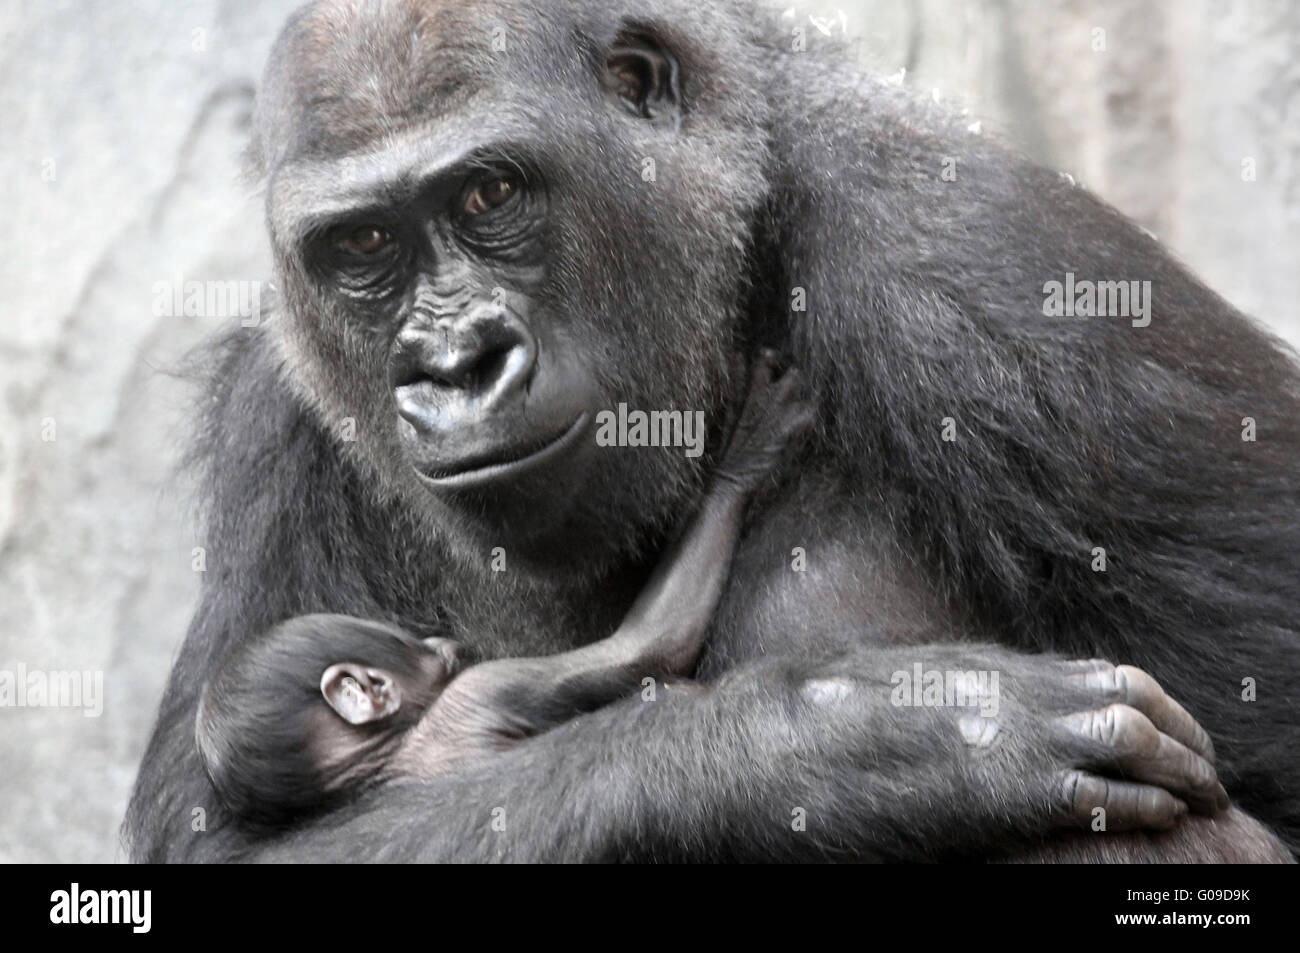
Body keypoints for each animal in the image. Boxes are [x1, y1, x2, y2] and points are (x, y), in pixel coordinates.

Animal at [195, 356, 811, 826]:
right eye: (403, 644)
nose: (438, 644)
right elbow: (650, 647)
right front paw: (743, 456)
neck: (383, 757)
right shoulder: (484, 691)